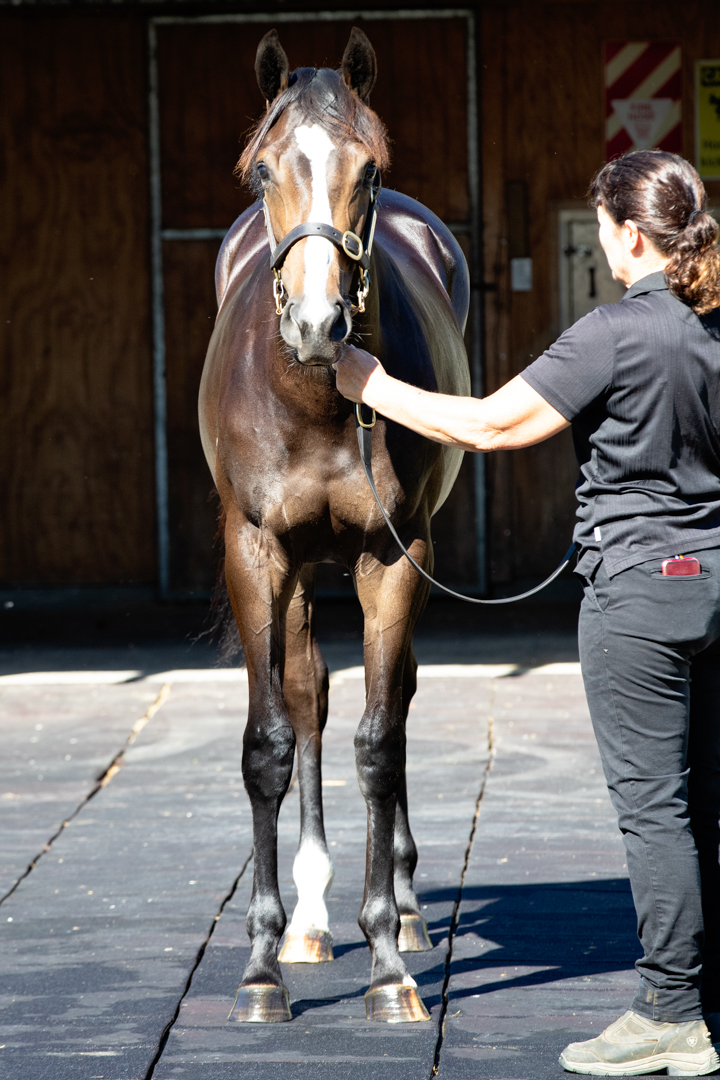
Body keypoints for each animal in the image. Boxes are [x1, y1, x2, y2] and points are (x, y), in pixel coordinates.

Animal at [199, 27, 470, 1024]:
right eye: (261, 171)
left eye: (371, 170)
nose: (319, 323)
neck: (314, 400)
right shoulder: (255, 552)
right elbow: (271, 743)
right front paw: (261, 967)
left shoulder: (394, 556)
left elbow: (380, 741)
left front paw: (389, 964)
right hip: (299, 573)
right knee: (309, 691)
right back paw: (310, 924)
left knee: (390, 698)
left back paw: (405, 909)